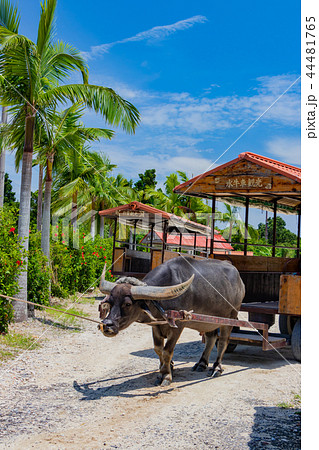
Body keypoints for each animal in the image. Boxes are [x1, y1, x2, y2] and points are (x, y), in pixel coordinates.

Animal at [99, 255, 245, 384]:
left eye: (128, 304)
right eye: (110, 302)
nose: (106, 325)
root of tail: (239, 279)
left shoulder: (178, 326)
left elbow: (167, 350)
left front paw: (165, 376)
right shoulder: (156, 325)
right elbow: (158, 349)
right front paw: (170, 367)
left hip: (230, 317)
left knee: (223, 341)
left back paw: (216, 368)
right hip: (208, 321)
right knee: (211, 338)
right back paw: (201, 364)